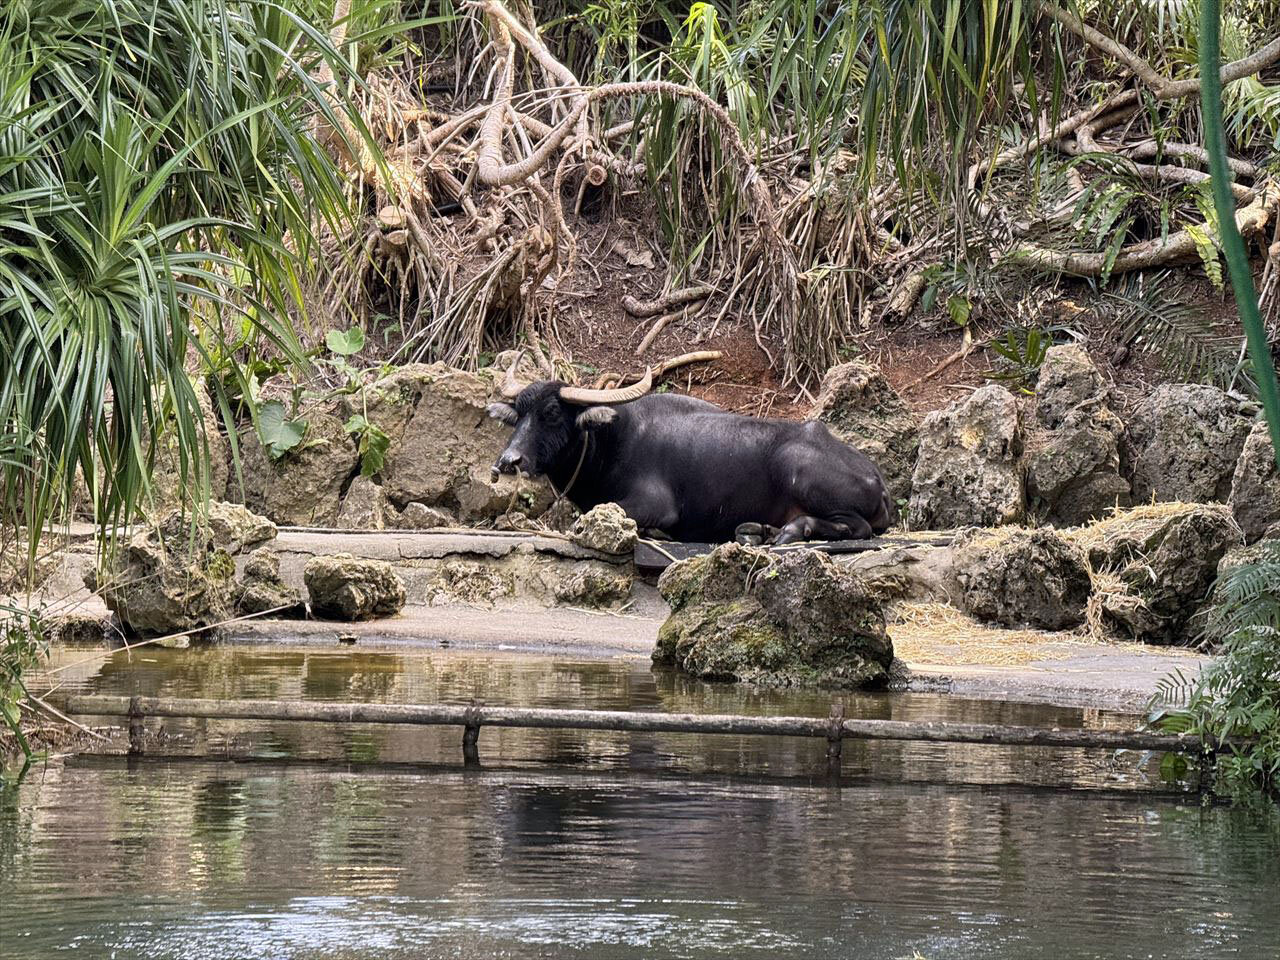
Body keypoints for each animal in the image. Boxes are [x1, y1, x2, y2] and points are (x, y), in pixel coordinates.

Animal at [483, 360, 896, 545]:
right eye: (519, 414)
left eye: (552, 413)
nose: (509, 461)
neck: (612, 441)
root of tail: (877, 477)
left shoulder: (653, 505)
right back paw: (758, 530)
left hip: (801, 471)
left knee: (856, 527)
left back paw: (793, 529)